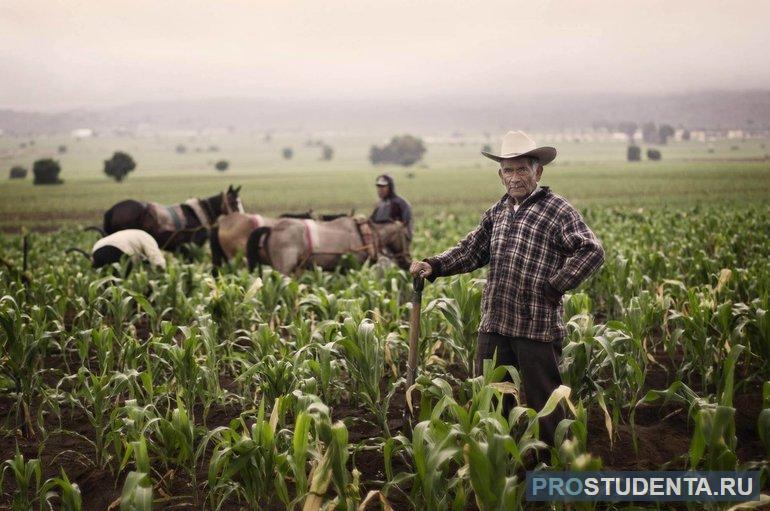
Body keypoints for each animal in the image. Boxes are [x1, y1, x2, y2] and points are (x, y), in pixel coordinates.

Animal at [243, 216, 412, 276]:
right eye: (406, 236)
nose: (407, 262)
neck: (364, 235)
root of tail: (272, 229)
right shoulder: (355, 266)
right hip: (283, 269)